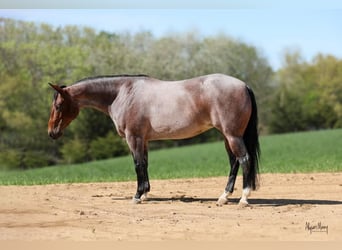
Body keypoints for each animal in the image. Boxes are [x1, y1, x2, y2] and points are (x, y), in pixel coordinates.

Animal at [47, 73, 260, 205]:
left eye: (58, 106)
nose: (51, 133)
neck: (123, 93)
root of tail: (244, 85)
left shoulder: (133, 138)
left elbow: (137, 164)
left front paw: (137, 195)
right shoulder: (144, 139)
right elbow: (145, 164)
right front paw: (145, 194)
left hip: (232, 135)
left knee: (244, 159)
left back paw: (244, 198)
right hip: (227, 136)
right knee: (234, 162)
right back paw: (224, 197)